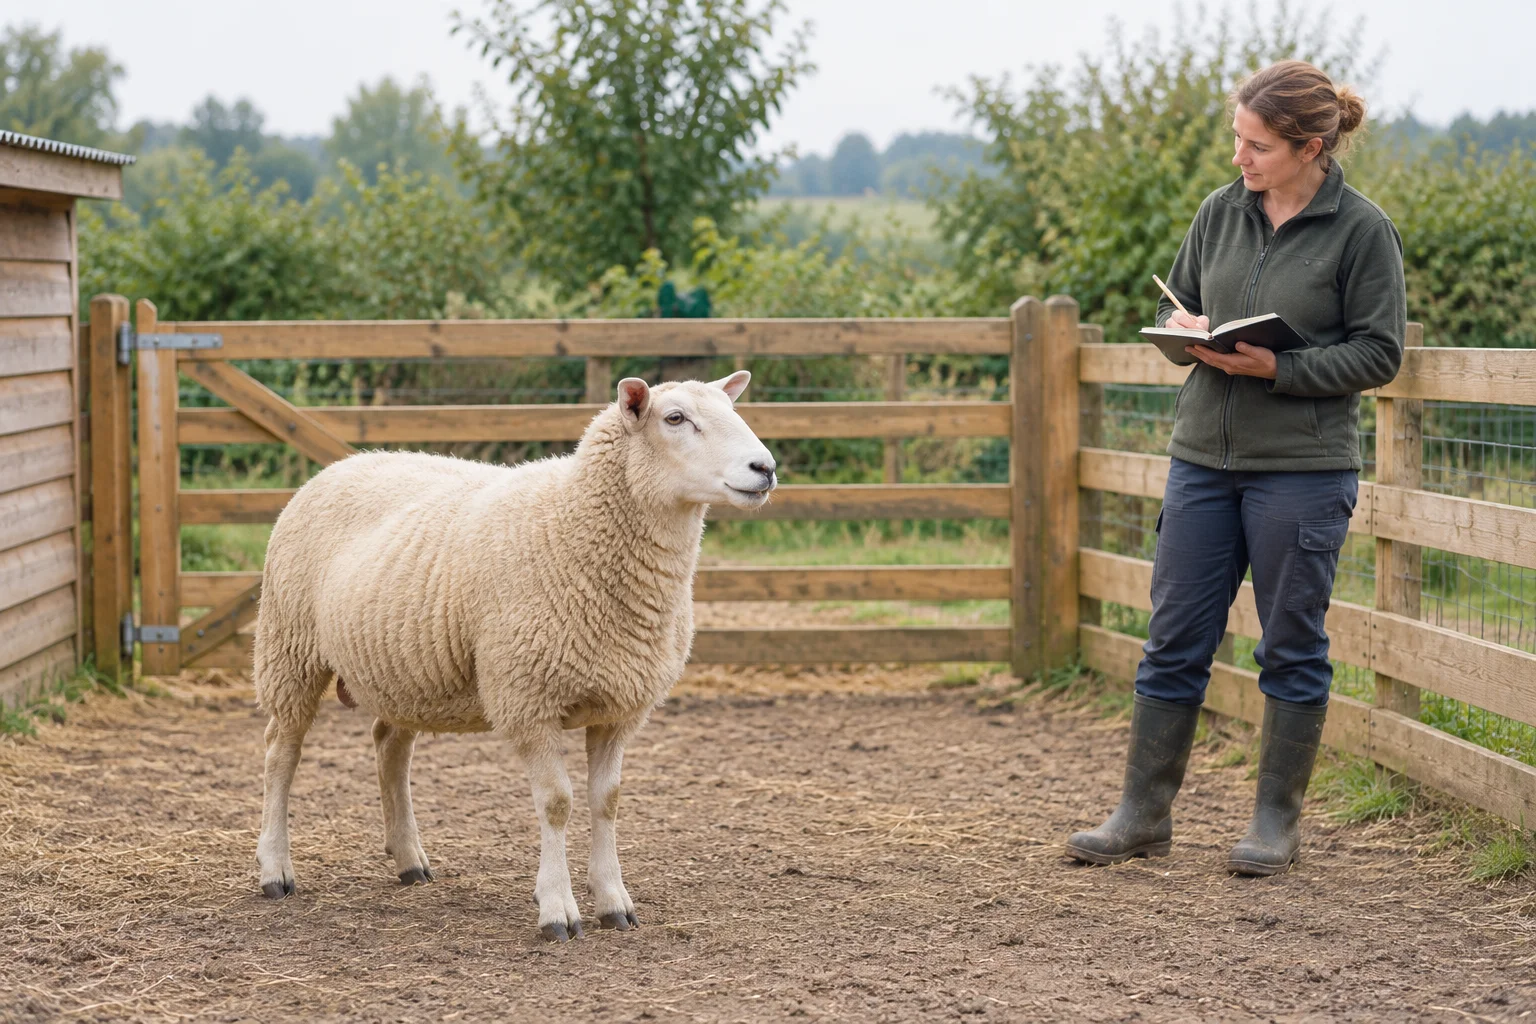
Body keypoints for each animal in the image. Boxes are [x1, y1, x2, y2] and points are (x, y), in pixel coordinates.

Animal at [252, 372, 776, 941]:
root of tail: (344, 463)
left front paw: (614, 901)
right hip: (289, 646)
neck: (572, 523)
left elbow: (607, 800)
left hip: (405, 667)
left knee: (389, 746)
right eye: (675, 418)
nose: (765, 468)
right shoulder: (529, 699)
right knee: (281, 753)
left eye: (732, 408)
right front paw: (558, 910)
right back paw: (275, 870)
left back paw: (409, 860)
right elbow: (557, 803)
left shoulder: (620, 707)